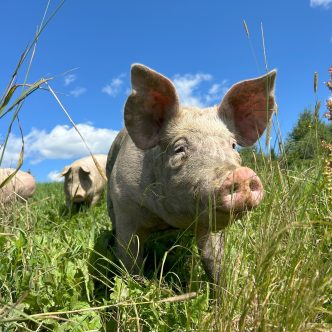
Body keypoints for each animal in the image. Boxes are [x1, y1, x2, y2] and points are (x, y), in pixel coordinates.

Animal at [107, 64, 278, 280]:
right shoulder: (125, 204)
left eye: (232, 145)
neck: (168, 221)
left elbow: (214, 259)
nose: (242, 174)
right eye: (179, 148)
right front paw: (137, 283)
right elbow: (130, 261)